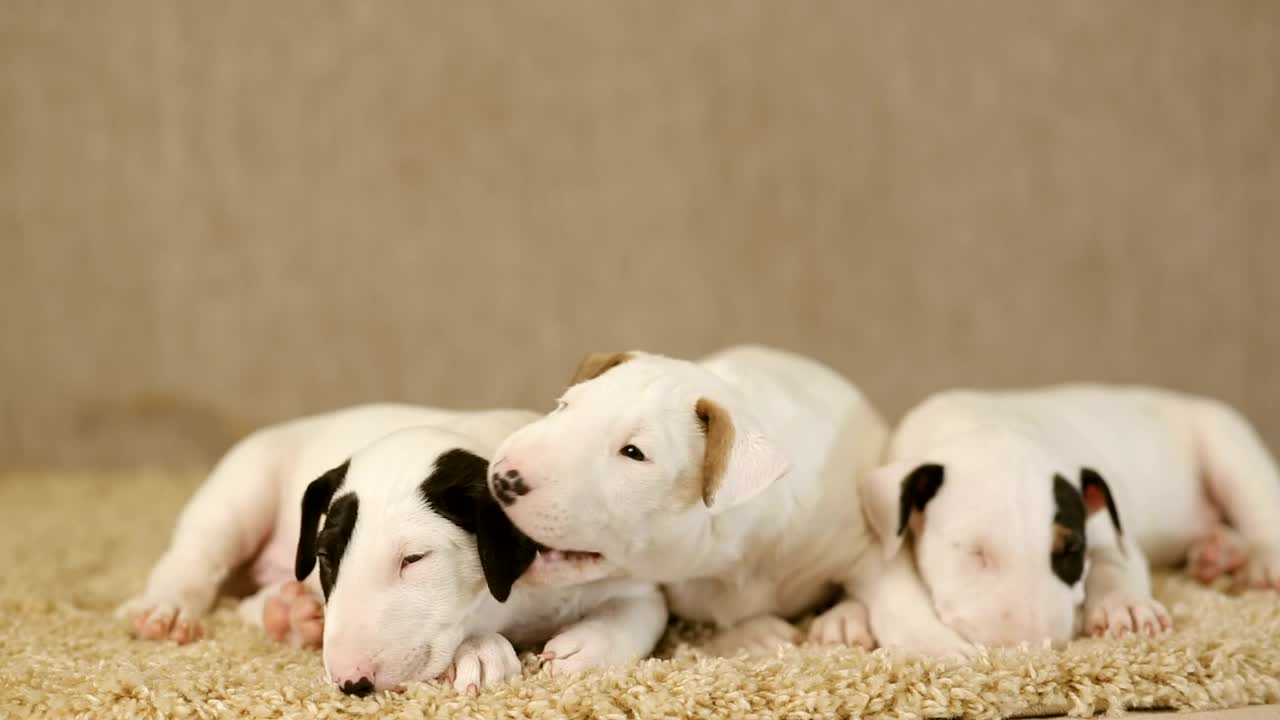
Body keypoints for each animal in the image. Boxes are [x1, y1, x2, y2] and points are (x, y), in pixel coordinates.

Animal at [481, 343, 901, 655]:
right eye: (564, 405)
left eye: (634, 453)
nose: (502, 479)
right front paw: (756, 636)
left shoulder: (853, 539)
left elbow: (881, 580)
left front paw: (848, 619)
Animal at [860, 384, 1280, 640]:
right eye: (975, 553)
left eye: (1071, 551)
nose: (1033, 646)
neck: (986, 425)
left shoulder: (1110, 529)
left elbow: (1115, 561)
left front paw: (1124, 608)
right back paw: (1216, 554)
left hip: (1228, 445)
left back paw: (1260, 564)